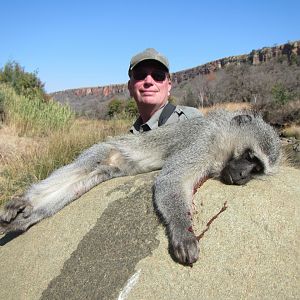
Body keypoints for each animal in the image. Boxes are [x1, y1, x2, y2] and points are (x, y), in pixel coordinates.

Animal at [0, 110, 282, 264]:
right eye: (250, 157)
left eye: (257, 169)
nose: (244, 175)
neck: (223, 139)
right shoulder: (203, 143)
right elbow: (171, 180)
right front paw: (184, 233)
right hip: (104, 148)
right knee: (81, 166)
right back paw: (24, 201)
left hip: (111, 170)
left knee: (83, 180)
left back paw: (27, 217)